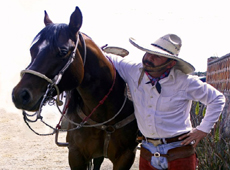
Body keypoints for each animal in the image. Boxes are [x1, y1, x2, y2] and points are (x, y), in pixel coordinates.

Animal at [11, 5, 137, 169]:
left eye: (63, 51)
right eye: (32, 50)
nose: (20, 95)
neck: (103, 116)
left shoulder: (126, 156)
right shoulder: (76, 154)